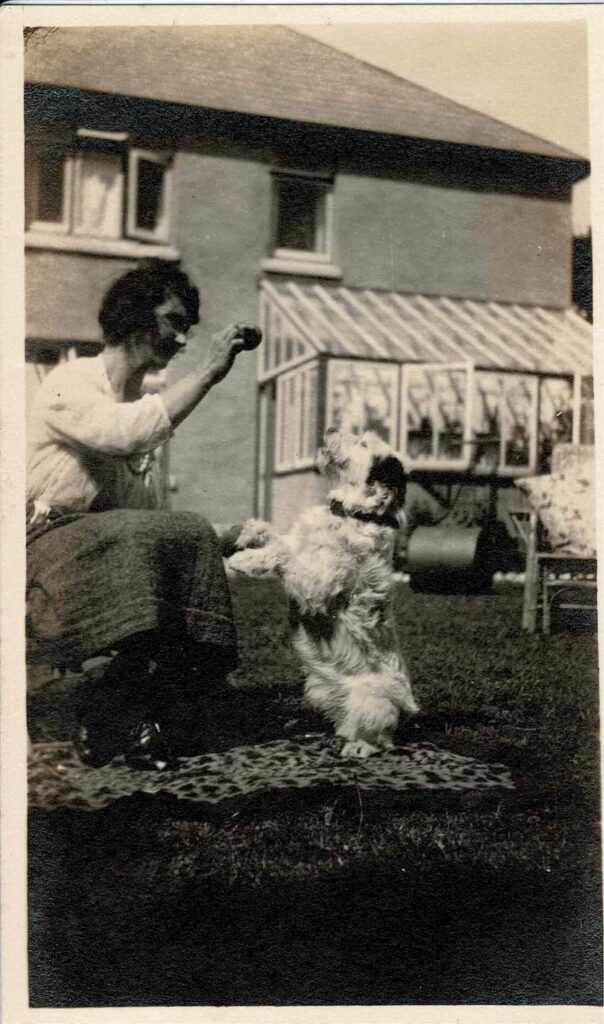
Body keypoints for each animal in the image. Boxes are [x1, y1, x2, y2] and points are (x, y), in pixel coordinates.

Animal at [229, 428, 419, 757]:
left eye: (363, 443)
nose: (329, 429)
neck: (351, 514)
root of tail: (407, 710)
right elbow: (281, 538)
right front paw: (251, 531)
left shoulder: (314, 586)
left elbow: (284, 554)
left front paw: (243, 560)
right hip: (320, 691)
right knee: (347, 724)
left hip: (373, 705)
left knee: (381, 740)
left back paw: (359, 747)